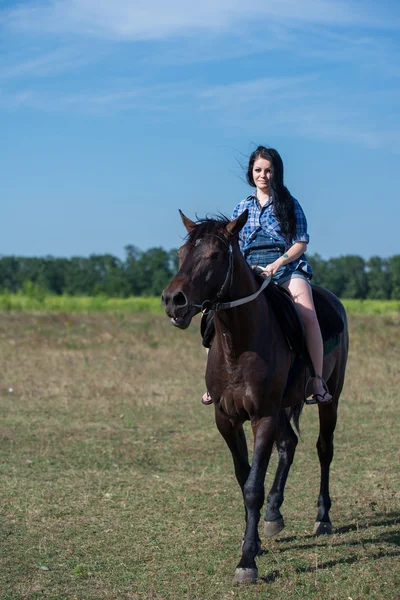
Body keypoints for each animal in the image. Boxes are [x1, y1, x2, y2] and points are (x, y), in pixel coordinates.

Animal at [161, 210, 348, 580]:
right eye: (181, 253)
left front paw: (247, 560)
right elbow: (243, 476)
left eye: (215, 255)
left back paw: (322, 517)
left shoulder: (262, 416)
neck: (239, 343)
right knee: (289, 444)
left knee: (324, 449)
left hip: (329, 397)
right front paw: (256, 540)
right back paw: (275, 514)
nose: (174, 300)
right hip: (283, 407)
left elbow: (252, 487)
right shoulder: (226, 418)